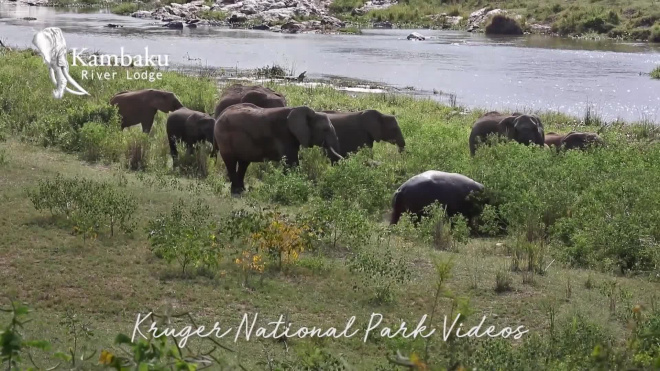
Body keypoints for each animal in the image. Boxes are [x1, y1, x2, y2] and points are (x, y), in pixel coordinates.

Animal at [214, 102, 342, 195]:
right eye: (325, 129)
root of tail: (220, 115)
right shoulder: (283, 134)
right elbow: (291, 162)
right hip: (224, 138)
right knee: (231, 162)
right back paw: (237, 191)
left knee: (243, 163)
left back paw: (242, 190)